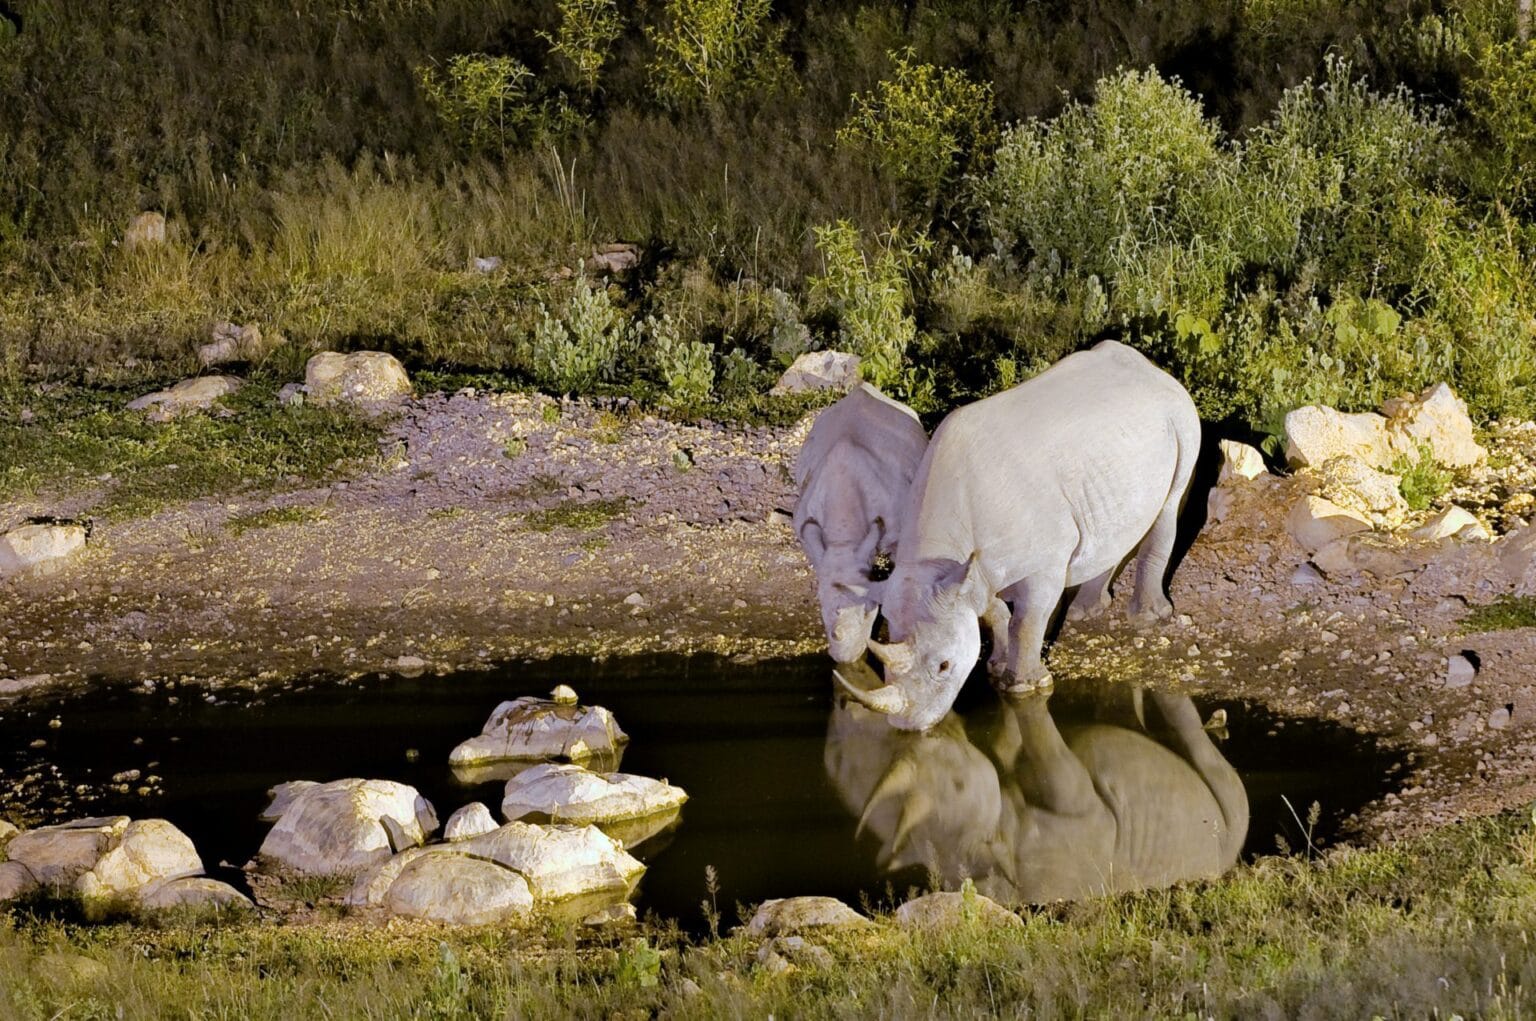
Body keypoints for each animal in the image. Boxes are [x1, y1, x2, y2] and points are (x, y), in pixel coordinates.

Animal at [841, 340, 1200, 730]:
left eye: (944, 666)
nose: (908, 726)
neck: (939, 557)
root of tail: (1153, 369)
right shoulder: (971, 574)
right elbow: (995, 612)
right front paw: (998, 667)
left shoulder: (1044, 565)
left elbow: (1028, 622)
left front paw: (1026, 686)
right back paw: (1086, 612)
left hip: (1181, 416)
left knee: (1170, 502)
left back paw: (1146, 618)